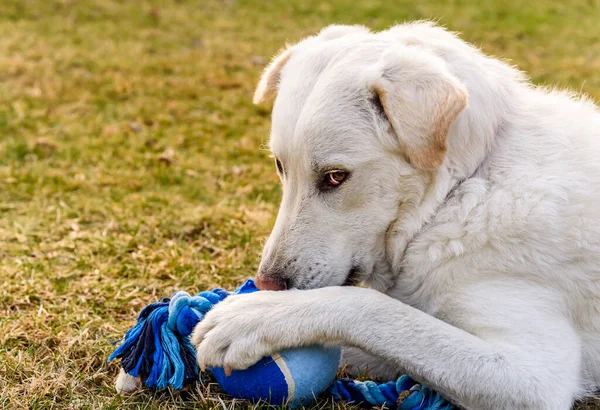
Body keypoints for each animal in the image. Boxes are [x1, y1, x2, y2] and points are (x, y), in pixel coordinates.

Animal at [118, 23, 600, 410]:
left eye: (335, 177)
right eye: (279, 166)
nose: (267, 285)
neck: (459, 191)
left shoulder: (533, 378)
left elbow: (373, 309)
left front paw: (256, 317)